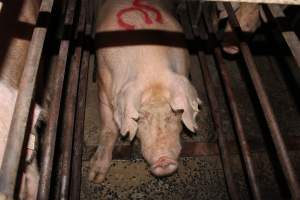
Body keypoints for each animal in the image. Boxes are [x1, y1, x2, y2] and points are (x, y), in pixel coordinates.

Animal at [89, 0, 202, 183]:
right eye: (140, 117)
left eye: (174, 113)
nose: (164, 161)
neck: (151, 69)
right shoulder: (104, 88)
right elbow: (109, 128)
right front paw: (95, 177)